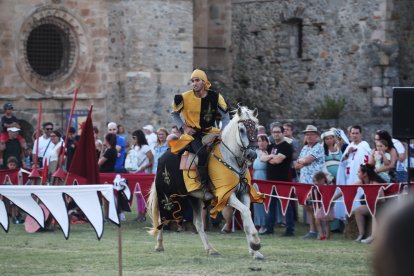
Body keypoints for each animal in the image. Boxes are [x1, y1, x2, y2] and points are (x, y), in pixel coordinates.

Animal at [149, 105, 264, 258]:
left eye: (256, 128)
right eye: (241, 130)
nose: (252, 154)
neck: (230, 158)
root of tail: (162, 157)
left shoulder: (243, 193)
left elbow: (246, 217)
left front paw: (255, 251)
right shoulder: (226, 195)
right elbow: (245, 211)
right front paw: (256, 244)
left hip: (193, 198)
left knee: (198, 223)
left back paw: (211, 249)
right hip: (168, 196)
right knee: (163, 217)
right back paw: (159, 245)